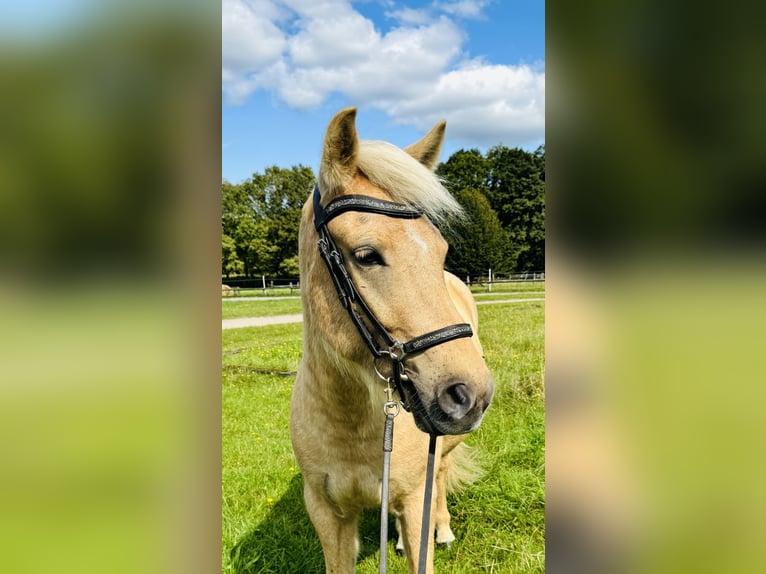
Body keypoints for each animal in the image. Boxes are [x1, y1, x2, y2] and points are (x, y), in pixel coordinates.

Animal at [292, 108, 496, 574]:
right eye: (366, 255)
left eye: (441, 252)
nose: (471, 395)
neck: (352, 421)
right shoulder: (326, 515)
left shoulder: (413, 498)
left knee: (441, 474)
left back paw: (442, 530)